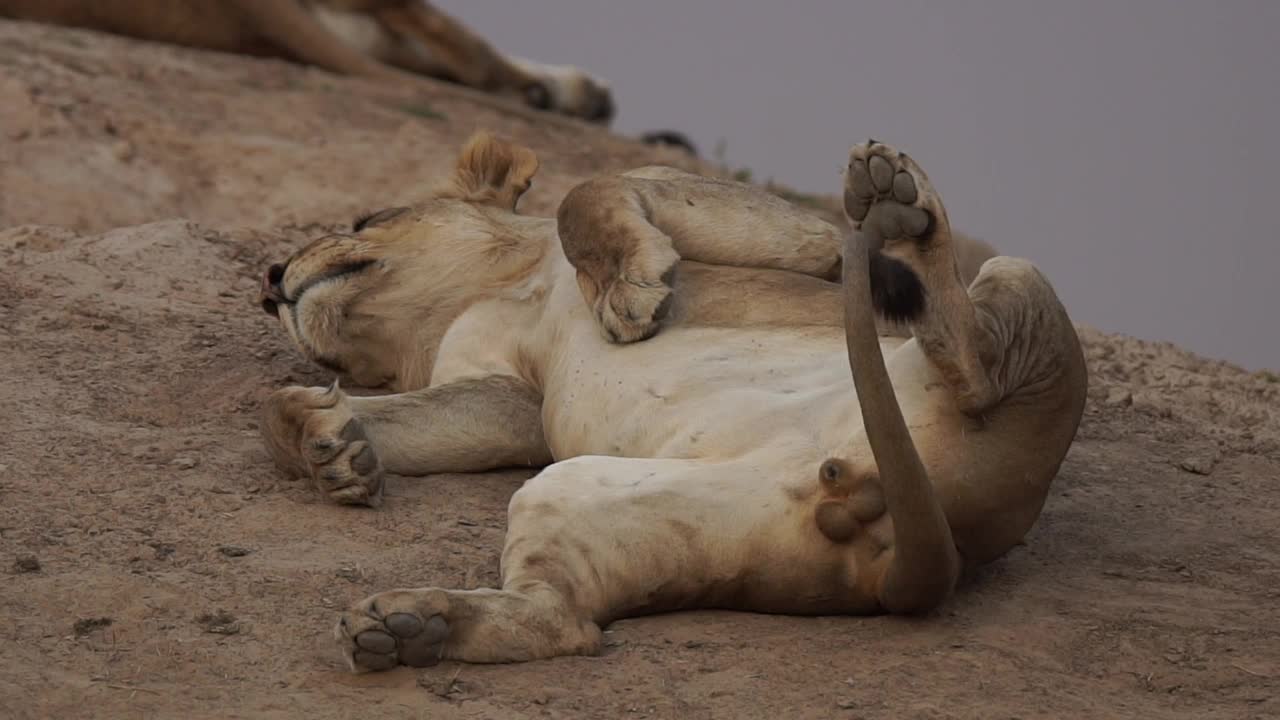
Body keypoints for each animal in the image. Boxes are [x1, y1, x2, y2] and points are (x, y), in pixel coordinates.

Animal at [254, 130, 1085, 666]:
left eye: (366, 220)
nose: (268, 279)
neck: (499, 290)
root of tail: (945, 546)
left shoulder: (788, 234)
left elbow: (587, 194)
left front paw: (629, 291)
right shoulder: (512, 400)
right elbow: (382, 420)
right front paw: (331, 450)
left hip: (1014, 277)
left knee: (975, 359)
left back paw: (894, 194)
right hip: (594, 496)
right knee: (564, 625)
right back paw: (406, 626)